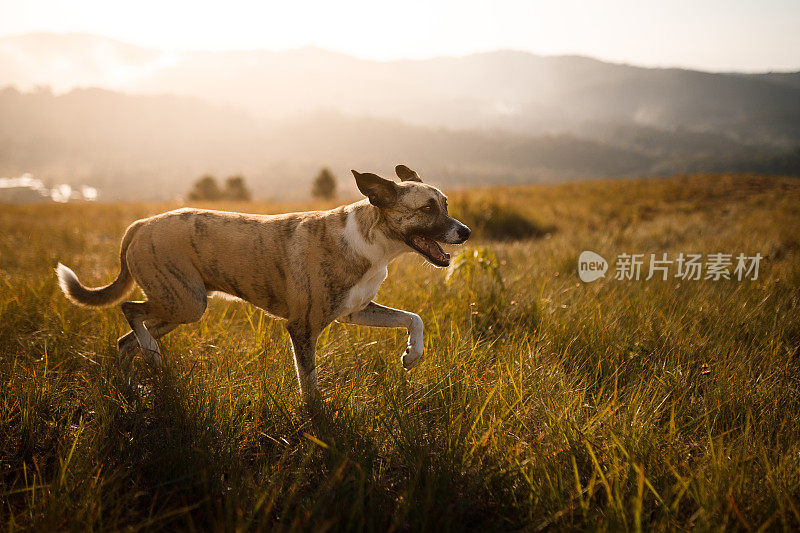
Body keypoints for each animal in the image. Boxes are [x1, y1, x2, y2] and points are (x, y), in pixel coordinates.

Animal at [57, 164, 468, 402]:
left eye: (446, 204)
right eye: (427, 209)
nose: (464, 232)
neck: (372, 241)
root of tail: (140, 224)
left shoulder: (356, 312)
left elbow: (414, 318)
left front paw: (412, 355)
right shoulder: (302, 327)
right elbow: (310, 384)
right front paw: (318, 425)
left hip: (178, 307)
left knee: (125, 340)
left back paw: (138, 376)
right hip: (184, 302)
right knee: (129, 309)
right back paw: (151, 355)